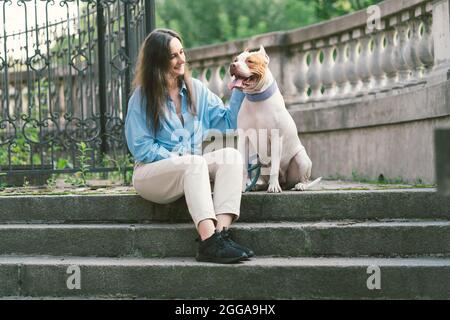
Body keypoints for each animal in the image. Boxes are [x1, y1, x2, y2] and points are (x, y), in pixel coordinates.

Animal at [229, 43, 320, 191]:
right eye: (235, 60)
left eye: (250, 61)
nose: (232, 65)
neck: (256, 99)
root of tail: (285, 182)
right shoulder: (244, 139)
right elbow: (243, 167)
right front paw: (241, 188)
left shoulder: (276, 138)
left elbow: (275, 168)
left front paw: (273, 187)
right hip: (257, 159)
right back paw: (257, 186)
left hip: (301, 157)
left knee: (302, 178)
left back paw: (299, 185)